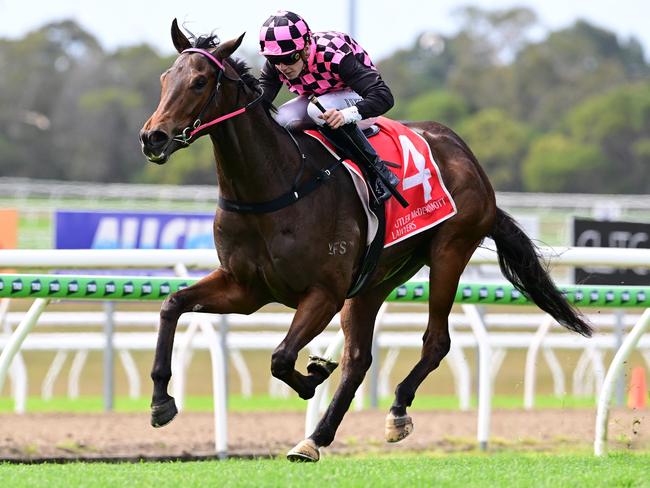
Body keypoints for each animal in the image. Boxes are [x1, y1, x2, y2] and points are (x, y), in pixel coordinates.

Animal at [139, 19, 588, 462]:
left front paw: (314, 374)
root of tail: (465, 154)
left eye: (199, 82)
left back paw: (396, 411)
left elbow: (281, 358)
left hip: (450, 252)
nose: (153, 137)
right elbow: (172, 304)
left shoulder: (324, 291)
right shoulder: (246, 288)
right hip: (376, 279)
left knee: (435, 342)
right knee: (358, 358)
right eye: (164, 78)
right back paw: (314, 438)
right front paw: (161, 401)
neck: (276, 186)